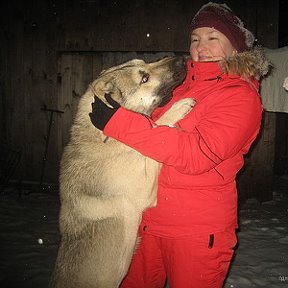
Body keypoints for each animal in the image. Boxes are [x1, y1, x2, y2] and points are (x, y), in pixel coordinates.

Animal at [49, 55, 196, 286]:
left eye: (144, 62)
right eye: (144, 78)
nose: (181, 58)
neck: (104, 134)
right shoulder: (145, 191)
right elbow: (155, 128)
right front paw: (178, 109)